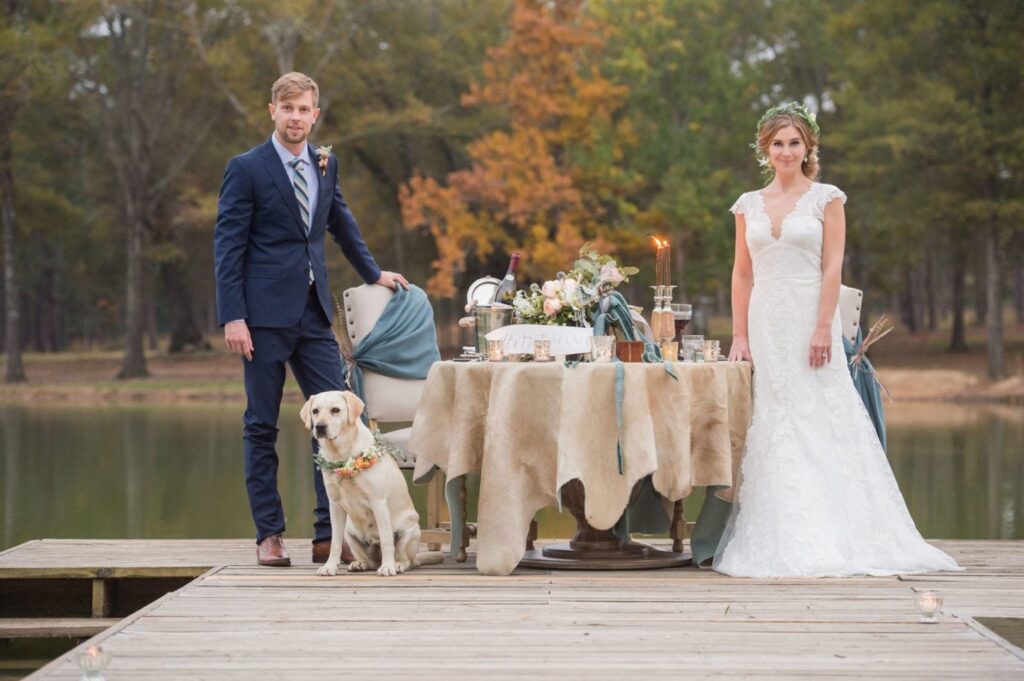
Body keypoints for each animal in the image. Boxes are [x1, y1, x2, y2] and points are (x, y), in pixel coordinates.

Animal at [296, 391, 440, 577]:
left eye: (335, 410)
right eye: (315, 411)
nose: (320, 426)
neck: (342, 456)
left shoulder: (378, 502)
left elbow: (386, 540)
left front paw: (387, 567)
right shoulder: (335, 505)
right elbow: (334, 543)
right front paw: (330, 566)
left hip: (409, 529)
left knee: (406, 559)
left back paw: (397, 564)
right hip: (350, 533)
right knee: (369, 561)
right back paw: (360, 564)